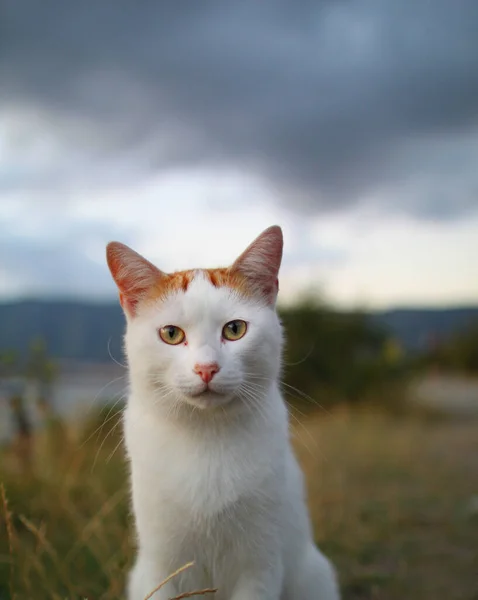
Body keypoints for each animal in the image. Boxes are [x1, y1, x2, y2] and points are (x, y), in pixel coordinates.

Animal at [108, 226, 340, 600]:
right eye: (171, 334)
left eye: (234, 330)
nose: (206, 368)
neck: (205, 435)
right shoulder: (161, 567)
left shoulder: (260, 566)